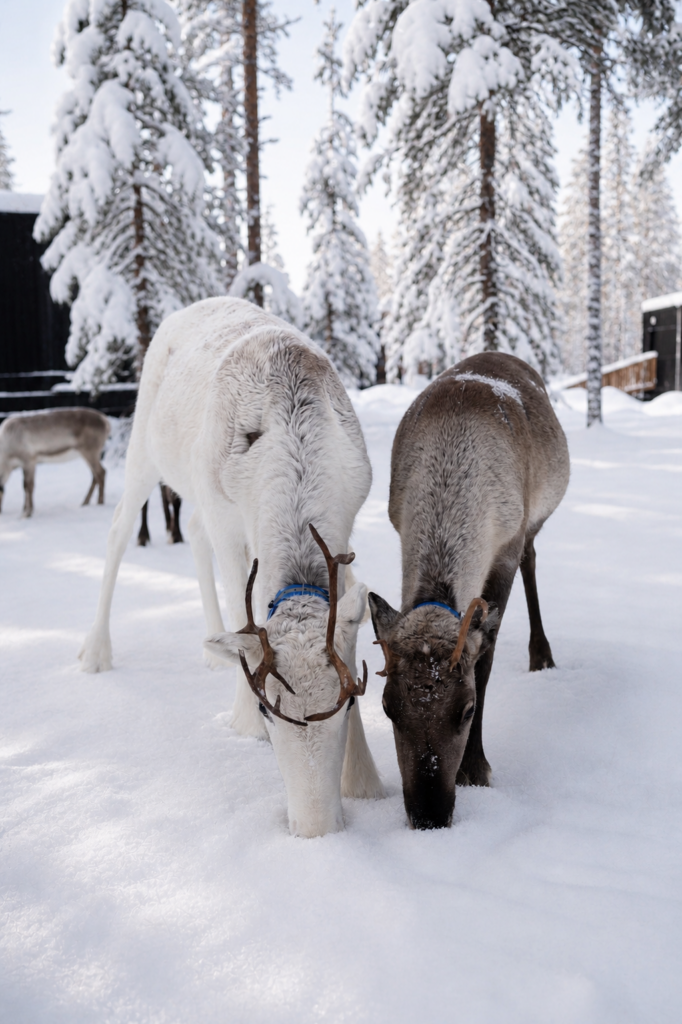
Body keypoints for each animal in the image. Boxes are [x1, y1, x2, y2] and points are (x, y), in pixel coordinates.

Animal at [79, 296, 384, 837]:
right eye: (267, 709)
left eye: (350, 700)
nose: (314, 828)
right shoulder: (228, 517)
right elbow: (242, 606)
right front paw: (242, 721)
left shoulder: (347, 523)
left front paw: (363, 777)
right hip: (145, 449)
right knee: (118, 528)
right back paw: (96, 651)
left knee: (191, 526)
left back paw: (211, 651)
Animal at [368, 352, 570, 830]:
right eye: (387, 707)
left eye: (468, 709)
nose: (429, 815)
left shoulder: (506, 547)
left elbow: (486, 659)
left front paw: (475, 769)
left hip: (533, 523)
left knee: (533, 559)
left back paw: (541, 654)